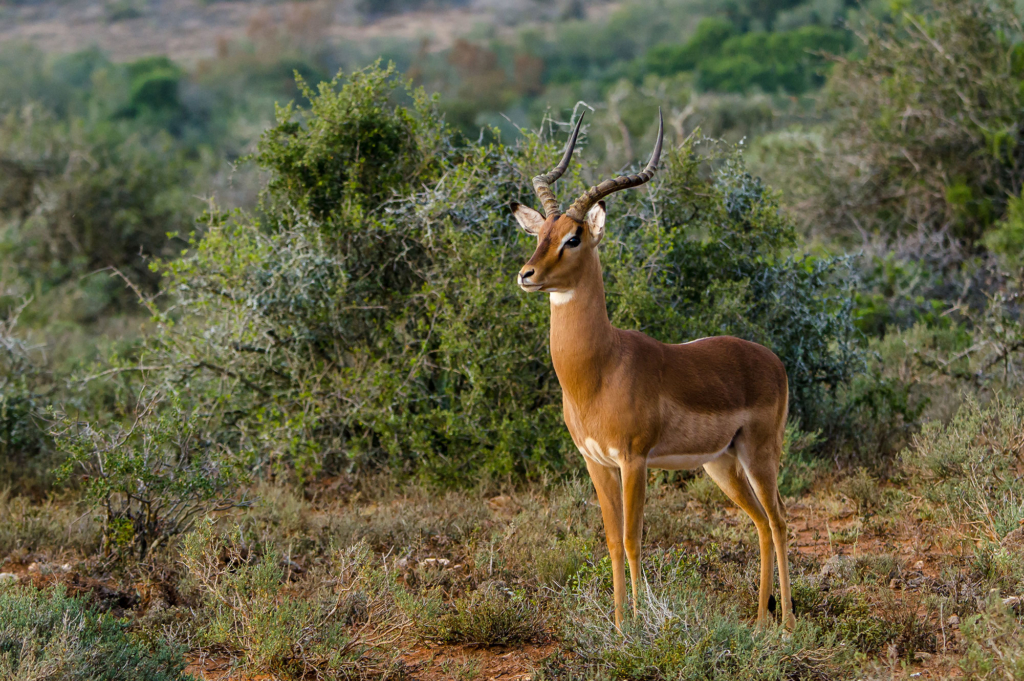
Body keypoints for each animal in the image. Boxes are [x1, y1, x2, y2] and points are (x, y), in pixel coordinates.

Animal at [511, 111, 794, 631]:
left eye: (573, 238)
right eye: (539, 235)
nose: (527, 275)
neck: (598, 372)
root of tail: (771, 358)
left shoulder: (634, 460)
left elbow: (633, 539)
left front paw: (641, 626)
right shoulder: (596, 462)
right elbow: (610, 541)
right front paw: (620, 626)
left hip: (760, 454)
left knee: (781, 519)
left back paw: (785, 624)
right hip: (721, 463)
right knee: (762, 523)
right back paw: (760, 622)